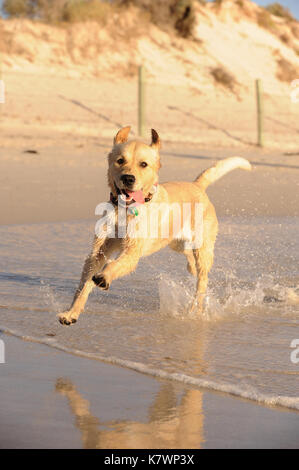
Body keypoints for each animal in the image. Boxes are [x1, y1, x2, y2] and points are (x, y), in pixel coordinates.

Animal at [58, 126, 251, 324]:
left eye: (143, 164)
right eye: (120, 161)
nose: (128, 178)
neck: (124, 211)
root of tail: (197, 185)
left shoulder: (132, 252)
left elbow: (112, 266)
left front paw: (104, 277)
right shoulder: (98, 252)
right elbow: (84, 286)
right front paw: (71, 313)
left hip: (202, 249)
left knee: (202, 282)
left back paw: (195, 311)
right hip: (176, 243)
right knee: (190, 260)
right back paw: (191, 270)